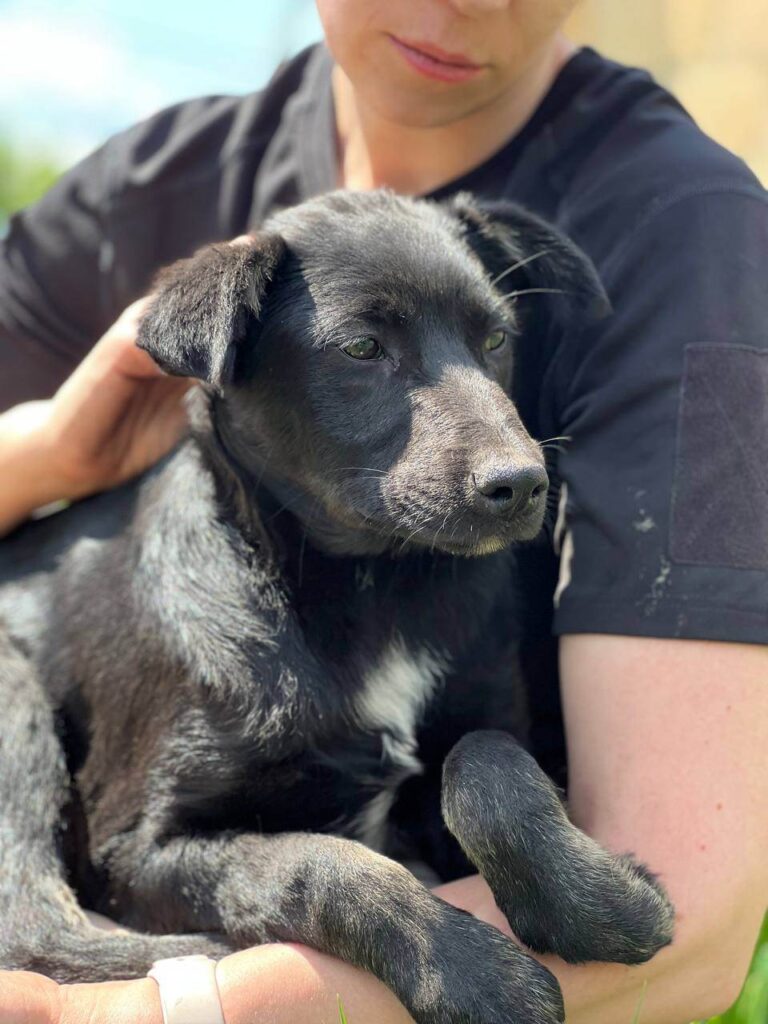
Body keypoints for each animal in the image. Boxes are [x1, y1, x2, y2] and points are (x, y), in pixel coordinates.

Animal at [0, 193, 671, 1024]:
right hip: (15, 704)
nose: (522, 484)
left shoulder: (503, 733)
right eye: (361, 347)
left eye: (496, 339)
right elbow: (315, 866)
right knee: (31, 925)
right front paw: (476, 975)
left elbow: (484, 763)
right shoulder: (135, 848)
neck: (376, 592)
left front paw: (605, 904)